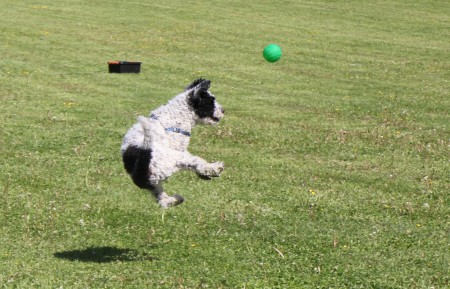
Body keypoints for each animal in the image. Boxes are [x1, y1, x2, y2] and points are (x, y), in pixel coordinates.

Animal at [121, 77, 225, 206]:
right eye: (211, 101)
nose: (223, 110)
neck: (177, 115)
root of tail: (140, 166)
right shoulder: (178, 148)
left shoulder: (181, 149)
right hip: (173, 159)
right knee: (196, 162)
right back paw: (215, 168)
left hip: (156, 182)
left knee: (162, 201)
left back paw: (174, 199)